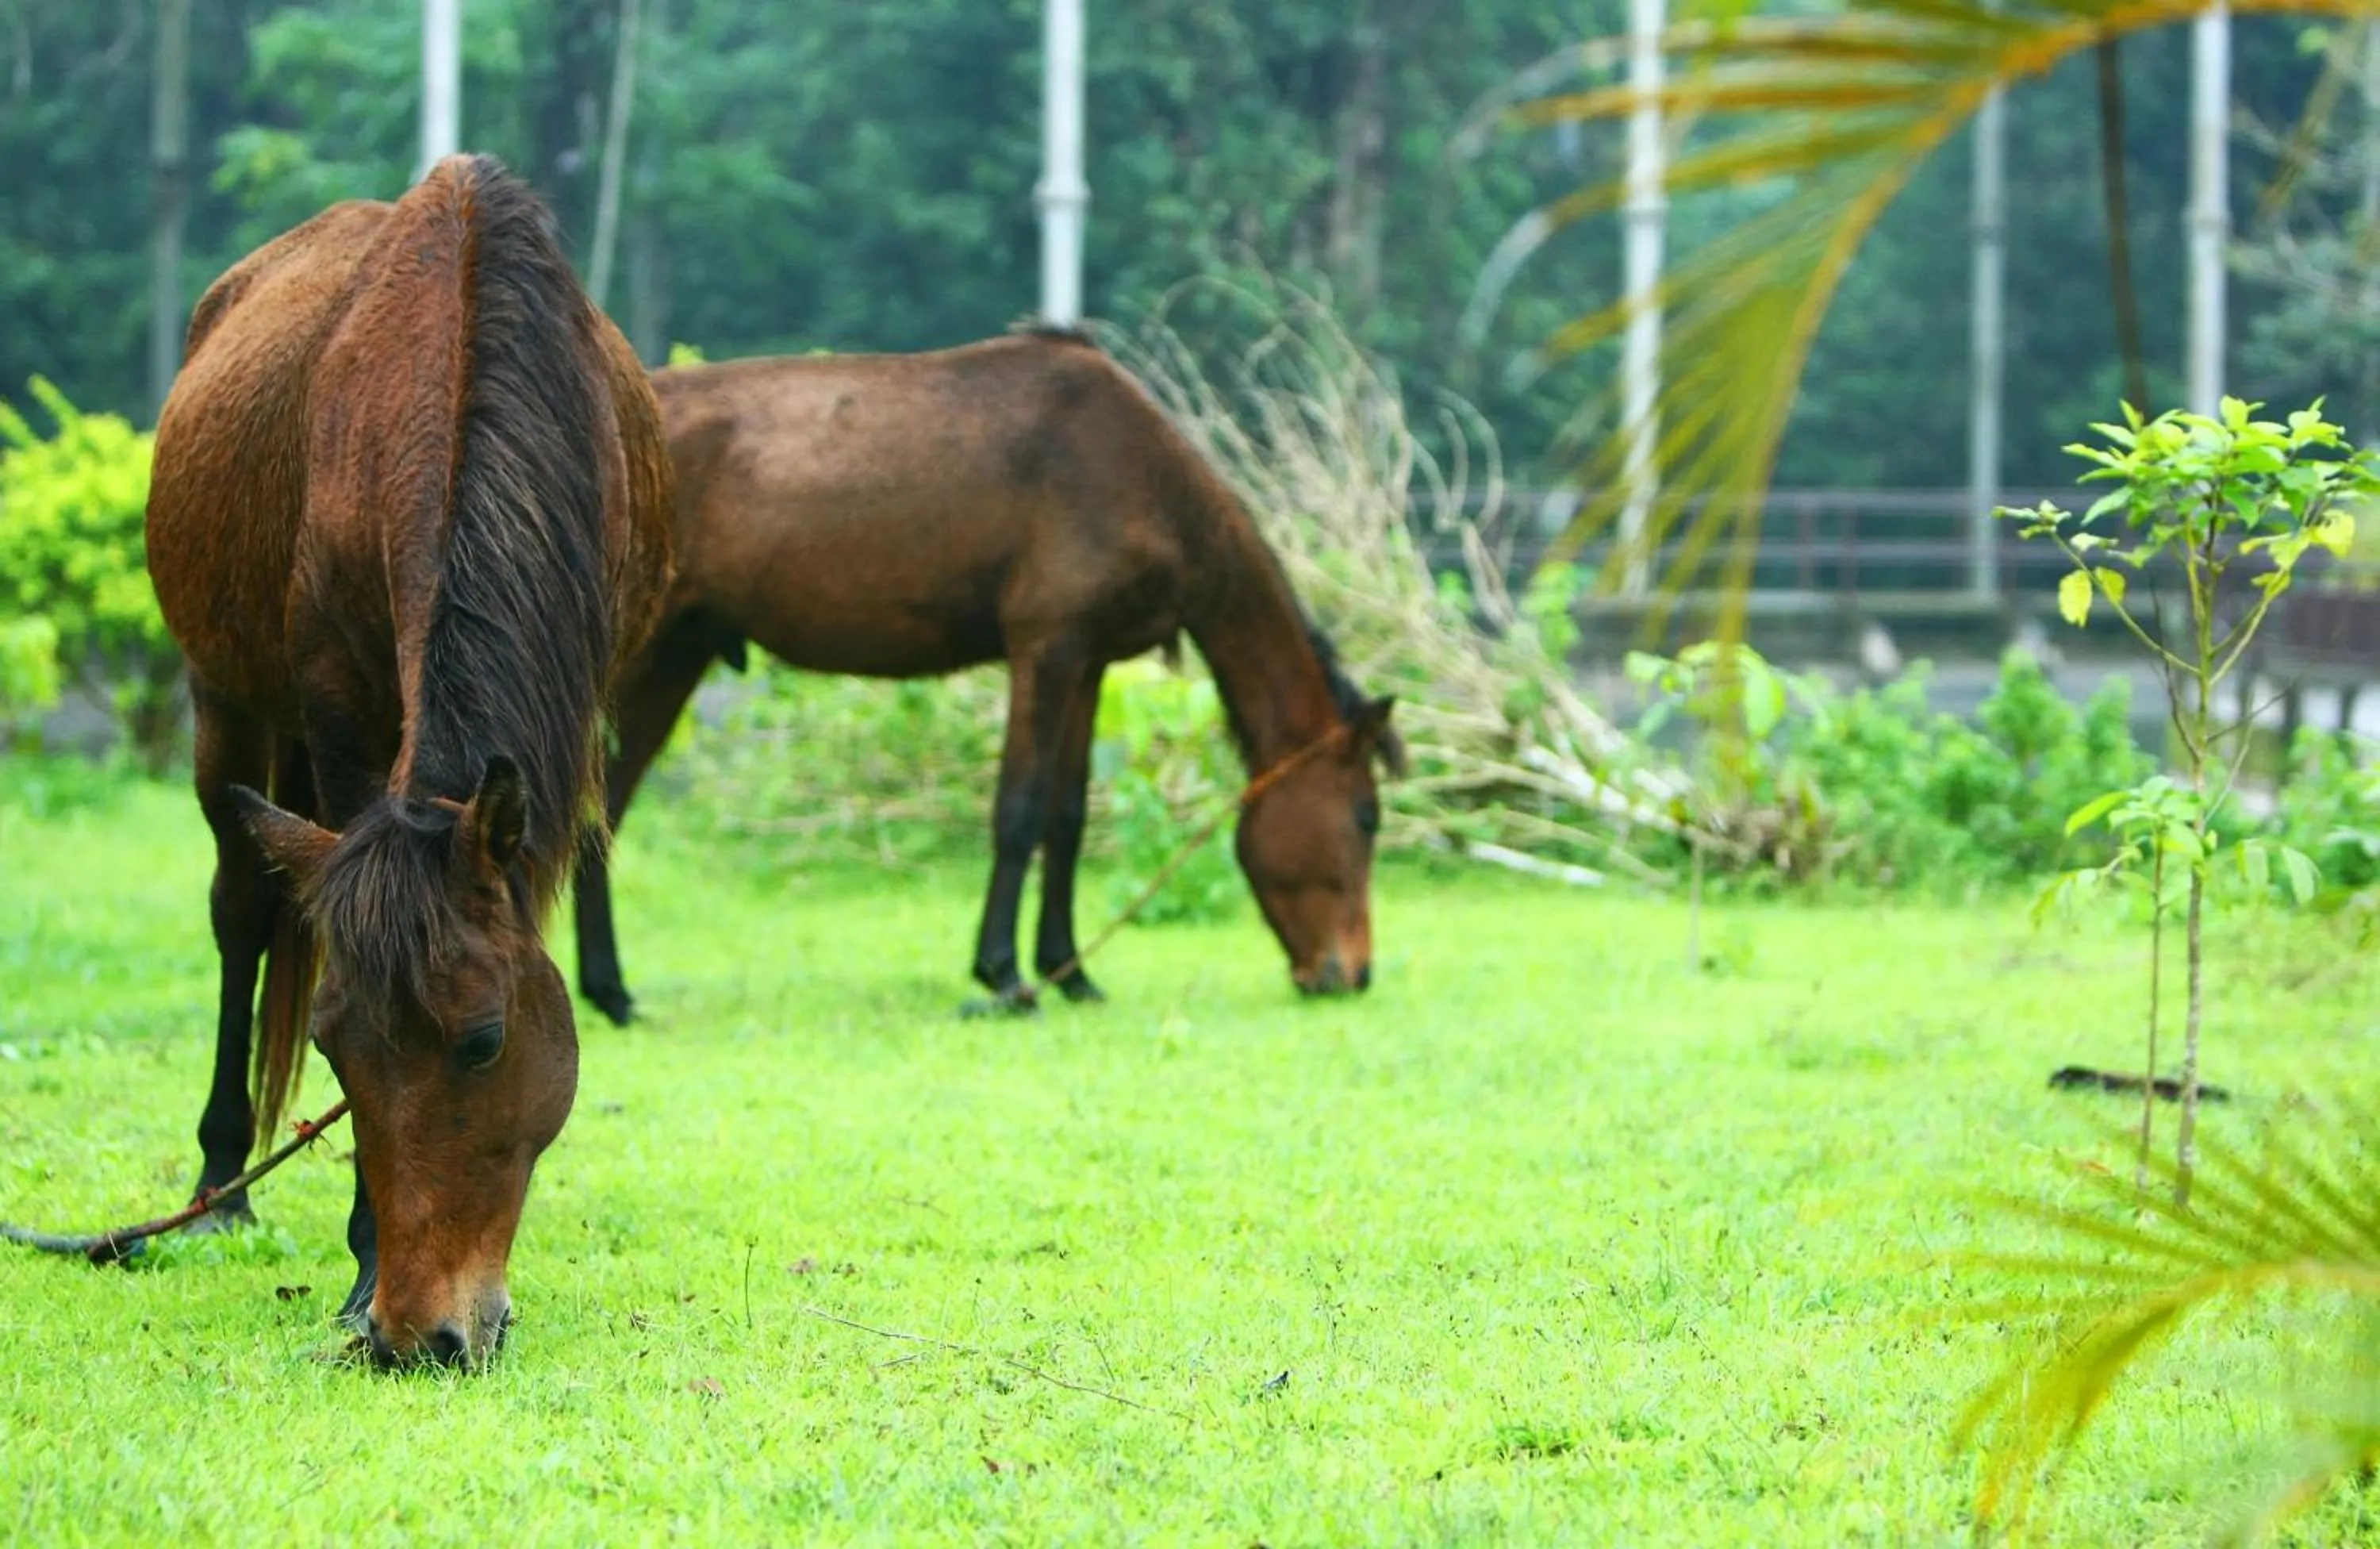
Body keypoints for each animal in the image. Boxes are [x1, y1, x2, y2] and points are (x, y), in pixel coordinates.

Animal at [143, 154, 673, 1366]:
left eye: (483, 1041)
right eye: (337, 1052)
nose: (417, 1334)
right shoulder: (337, 703)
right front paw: (359, 1265)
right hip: (224, 698)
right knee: (242, 910)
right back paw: (222, 1182)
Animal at [570, 327, 1402, 1023]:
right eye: (1366, 817)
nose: (1353, 973)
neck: (1143, 474)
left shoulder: (1089, 661)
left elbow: (1067, 818)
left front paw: (1069, 972)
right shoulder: (1046, 648)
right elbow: (1021, 811)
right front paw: (1003, 972)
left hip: (677, 652)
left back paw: (610, 991)